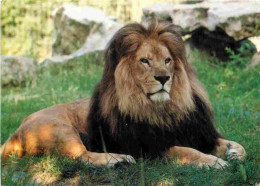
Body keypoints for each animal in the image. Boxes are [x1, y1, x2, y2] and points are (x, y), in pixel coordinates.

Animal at [1, 21, 246, 169]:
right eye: (145, 61)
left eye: (167, 60)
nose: (164, 78)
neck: (163, 110)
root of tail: (13, 134)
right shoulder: (147, 148)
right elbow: (185, 151)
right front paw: (214, 162)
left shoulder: (199, 133)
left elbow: (238, 146)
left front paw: (234, 152)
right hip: (59, 129)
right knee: (82, 156)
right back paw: (119, 160)